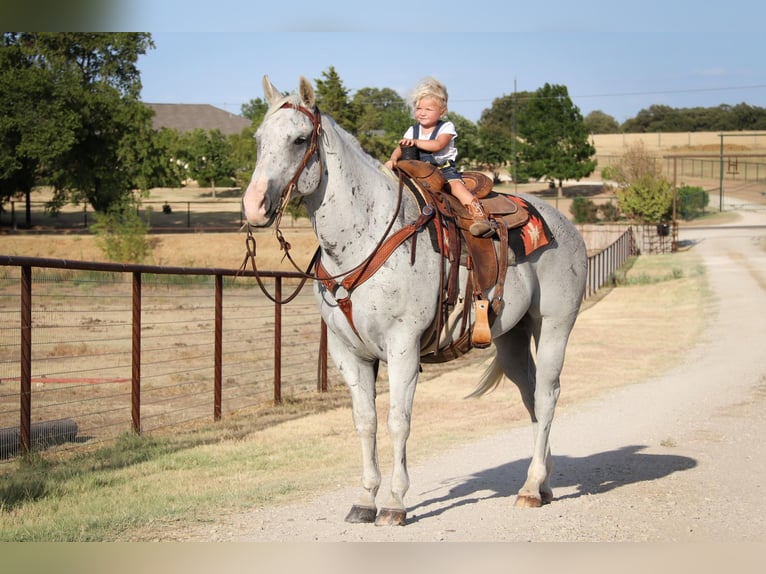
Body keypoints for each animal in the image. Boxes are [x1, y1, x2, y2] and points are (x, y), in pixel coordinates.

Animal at [243, 77, 592, 532]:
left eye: (300, 139)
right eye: (258, 139)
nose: (253, 206)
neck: (365, 235)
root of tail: (565, 226)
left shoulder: (403, 347)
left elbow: (397, 421)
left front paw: (395, 503)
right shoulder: (348, 353)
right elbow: (365, 422)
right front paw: (365, 499)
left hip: (553, 327)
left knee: (548, 395)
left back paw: (531, 489)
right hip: (512, 339)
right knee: (532, 398)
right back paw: (544, 483)